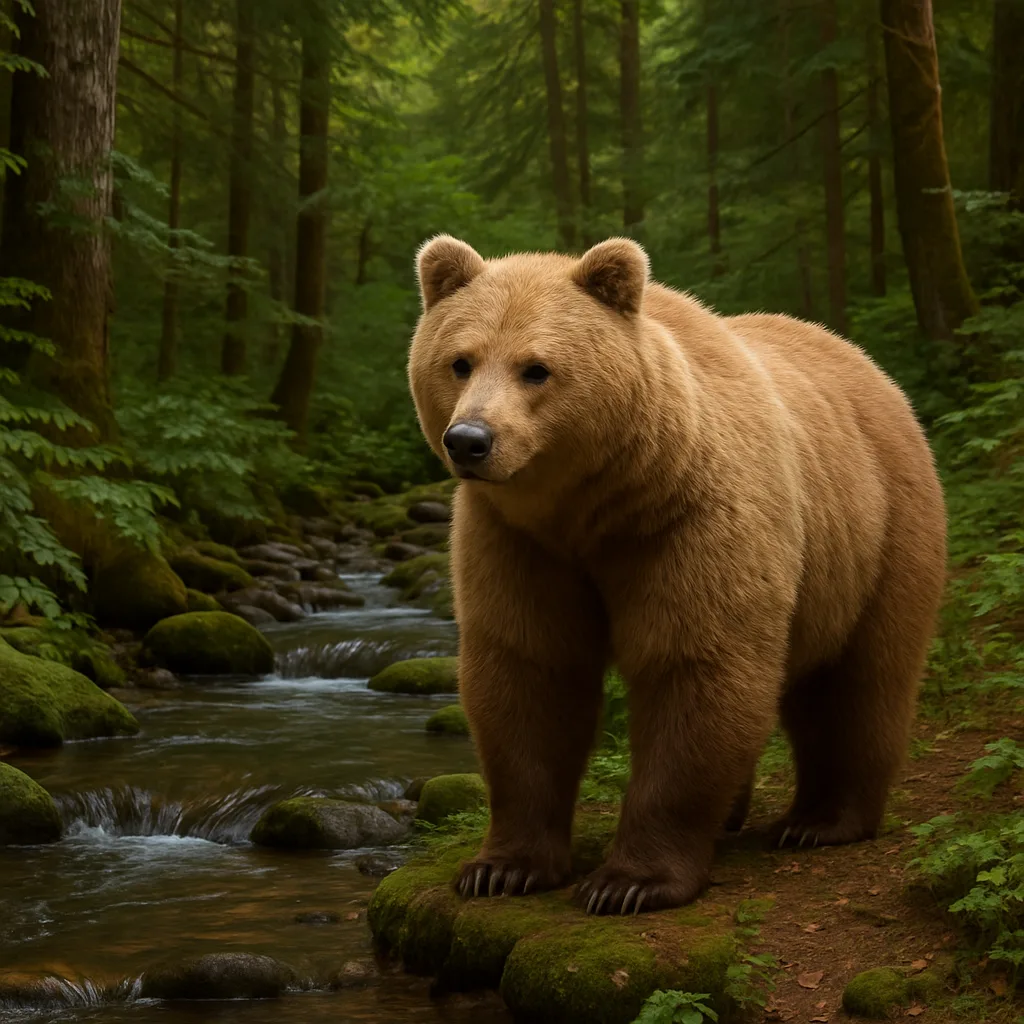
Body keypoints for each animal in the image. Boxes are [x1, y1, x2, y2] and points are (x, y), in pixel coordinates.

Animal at [407, 234, 947, 915]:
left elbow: (692, 663)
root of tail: (866, 363)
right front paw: (502, 868)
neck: (594, 507)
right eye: (459, 361)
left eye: (536, 368)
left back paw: (821, 820)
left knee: (859, 678)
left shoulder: (689, 521)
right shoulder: (517, 541)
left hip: (875, 530)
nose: (470, 440)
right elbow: (529, 670)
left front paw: (627, 882)